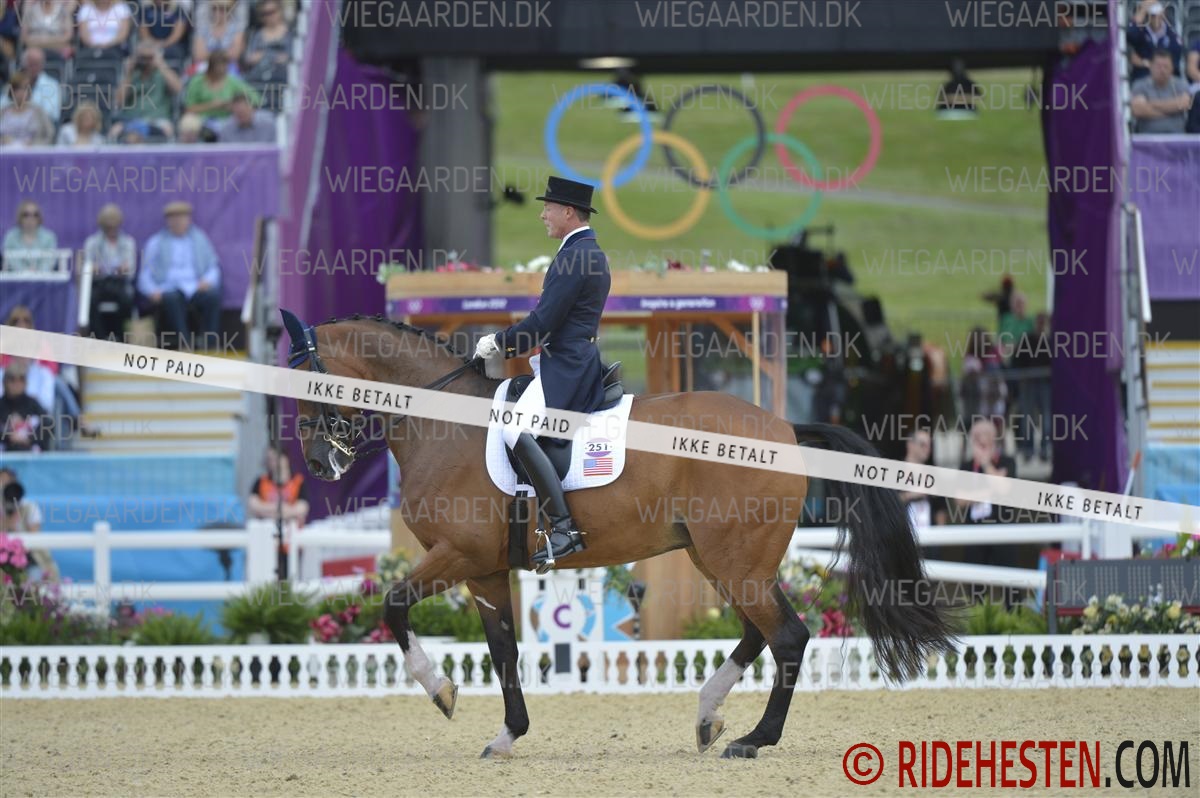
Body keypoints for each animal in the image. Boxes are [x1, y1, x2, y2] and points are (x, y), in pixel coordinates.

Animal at [279, 310, 954, 759]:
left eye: (307, 385)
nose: (318, 463)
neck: (444, 425)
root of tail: (786, 428)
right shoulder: (485, 569)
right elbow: (503, 650)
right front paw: (507, 734)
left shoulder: (457, 555)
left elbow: (393, 607)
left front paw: (442, 691)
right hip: (719, 560)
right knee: (757, 633)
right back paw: (709, 716)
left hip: (735, 562)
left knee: (787, 636)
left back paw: (752, 740)